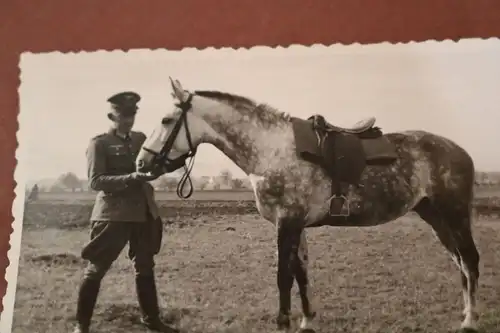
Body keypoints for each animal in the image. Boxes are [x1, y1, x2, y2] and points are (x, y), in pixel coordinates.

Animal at [136, 76, 480, 330]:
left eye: (166, 120)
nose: (141, 164)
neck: (271, 150)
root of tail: (460, 151)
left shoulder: (286, 223)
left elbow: (283, 276)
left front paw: (283, 322)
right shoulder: (297, 225)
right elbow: (301, 273)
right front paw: (306, 321)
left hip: (455, 214)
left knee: (470, 260)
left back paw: (470, 321)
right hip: (434, 216)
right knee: (459, 262)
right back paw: (464, 314)